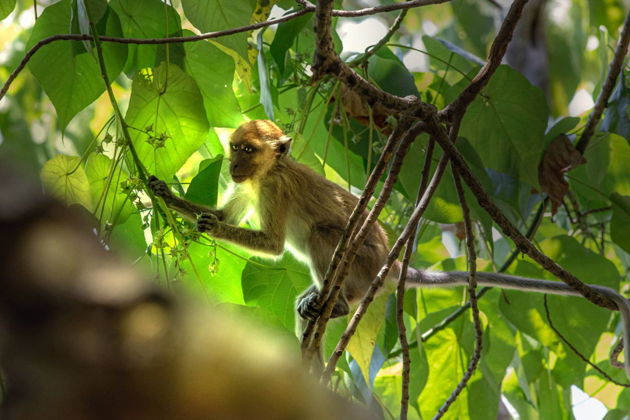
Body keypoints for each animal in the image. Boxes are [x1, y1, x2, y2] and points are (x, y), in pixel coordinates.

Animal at [151, 120, 630, 378]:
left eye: (248, 149)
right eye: (234, 148)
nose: (233, 164)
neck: (267, 171)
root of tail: (390, 264)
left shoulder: (272, 189)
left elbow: (271, 244)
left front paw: (208, 224)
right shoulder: (249, 186)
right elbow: (227, 213)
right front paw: (164, 193)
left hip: (362, 264)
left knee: (324, 235)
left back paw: (337, 304)